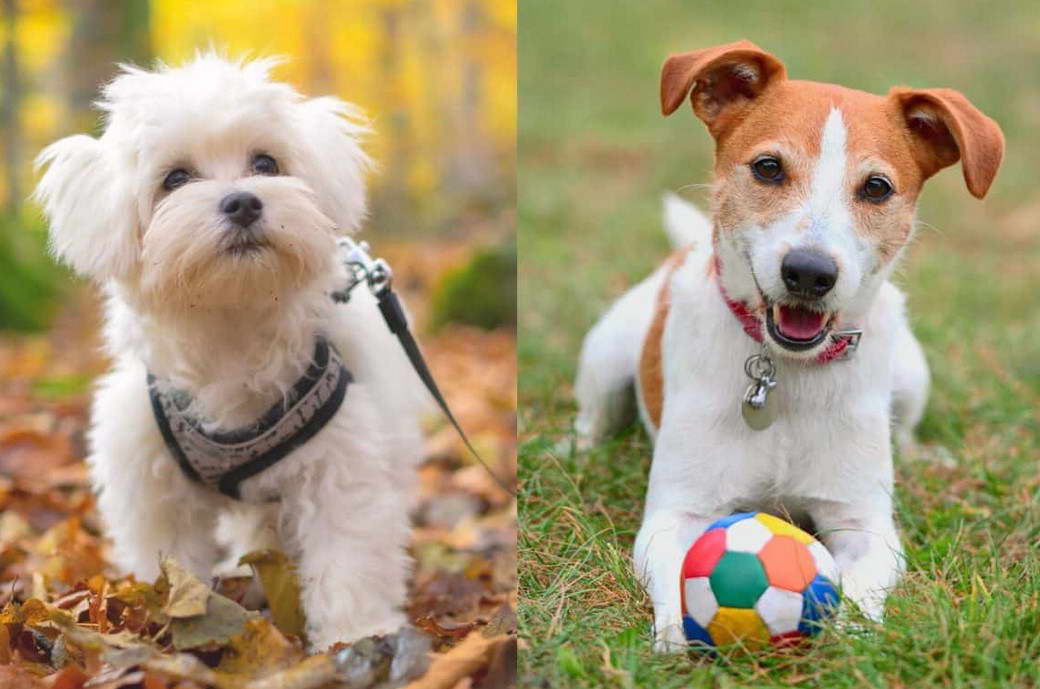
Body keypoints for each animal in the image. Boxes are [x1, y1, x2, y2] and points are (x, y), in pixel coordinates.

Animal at [33, 55, 426, 653]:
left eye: (266, 162)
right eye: (175, 178)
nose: (243, 200)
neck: (232, 319)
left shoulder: (341, 462)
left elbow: (348, 553)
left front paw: (355, 634)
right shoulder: (149, 475)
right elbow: (169, 558)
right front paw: (166, 615)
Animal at [574, 40, 1002, 649]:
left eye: (876, 187)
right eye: (768, 168)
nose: (809, 272)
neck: (786, 373)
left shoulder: (863, 524)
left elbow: (859, 590)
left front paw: (847, 640)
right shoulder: (677, 514)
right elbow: (678, 578)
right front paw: (677, 639)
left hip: (913, 374)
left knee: (908, 426)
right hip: (605, 358)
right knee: (591, 419)